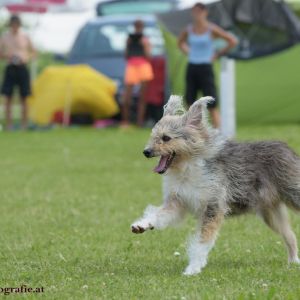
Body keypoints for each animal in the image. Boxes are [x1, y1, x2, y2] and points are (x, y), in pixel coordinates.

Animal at [131, 95, 300, 276]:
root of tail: (288, 150)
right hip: (271, 214)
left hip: (293, 195)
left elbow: (202, 242)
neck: (188, 168)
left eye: (166, 138)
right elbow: (158, 215)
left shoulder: (213, 207)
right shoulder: (176, 204)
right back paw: (293, 262)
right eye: (153, 135)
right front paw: (142, 225)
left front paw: (193, 268)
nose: (146, 152)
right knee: (290, 236)